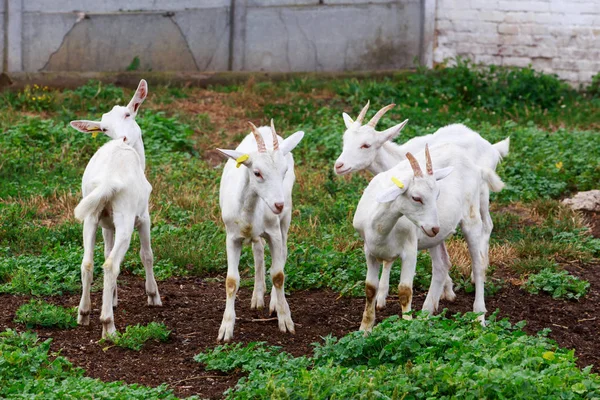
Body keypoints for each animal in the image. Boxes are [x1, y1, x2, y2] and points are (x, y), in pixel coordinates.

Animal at [69, 79, 162, 338]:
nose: (123, 138)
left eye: (128, 114)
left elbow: (105, 251)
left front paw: (112, 298)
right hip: (126, 216)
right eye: (104, 129)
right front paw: (153, 296)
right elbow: (147, 254)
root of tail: (109, 180)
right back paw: (108, 326)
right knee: (111, 265)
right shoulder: (144, 216)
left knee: (88, 263)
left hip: (91, 214)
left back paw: (84, 314)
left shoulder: (105, 224)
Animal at [216, 120, 304, 342]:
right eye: (257, 173)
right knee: (258, 249)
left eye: (284, 171)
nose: (278, 205)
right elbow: (231, 281)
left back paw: (273, 302)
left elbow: (278, 275)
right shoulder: (231, 237)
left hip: (284, 221)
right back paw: (257, 296)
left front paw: (285, 319)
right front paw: (225, 329)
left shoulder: (274, 232)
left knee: (282, 254)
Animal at [336, 101, 508, 310]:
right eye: (345, 141)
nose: (339, 165)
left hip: (482, 192)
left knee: (486, 226)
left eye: (366, 145)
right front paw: (382, 296)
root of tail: (492, 147)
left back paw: (478, 278)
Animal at [354, 144, 504, 332]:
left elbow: (405, 291)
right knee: (441, 265)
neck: (382, 230)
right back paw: (425, 314)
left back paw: (479, 316)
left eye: (437, 195)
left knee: (478, 266)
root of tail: (474, 165)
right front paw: (364, 329)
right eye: (416, 197)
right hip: (434, 238)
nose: (434, 228)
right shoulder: (369, 251)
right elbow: (370, 289)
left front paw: (407, 326)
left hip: (471, 216)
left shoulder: (410, 250)